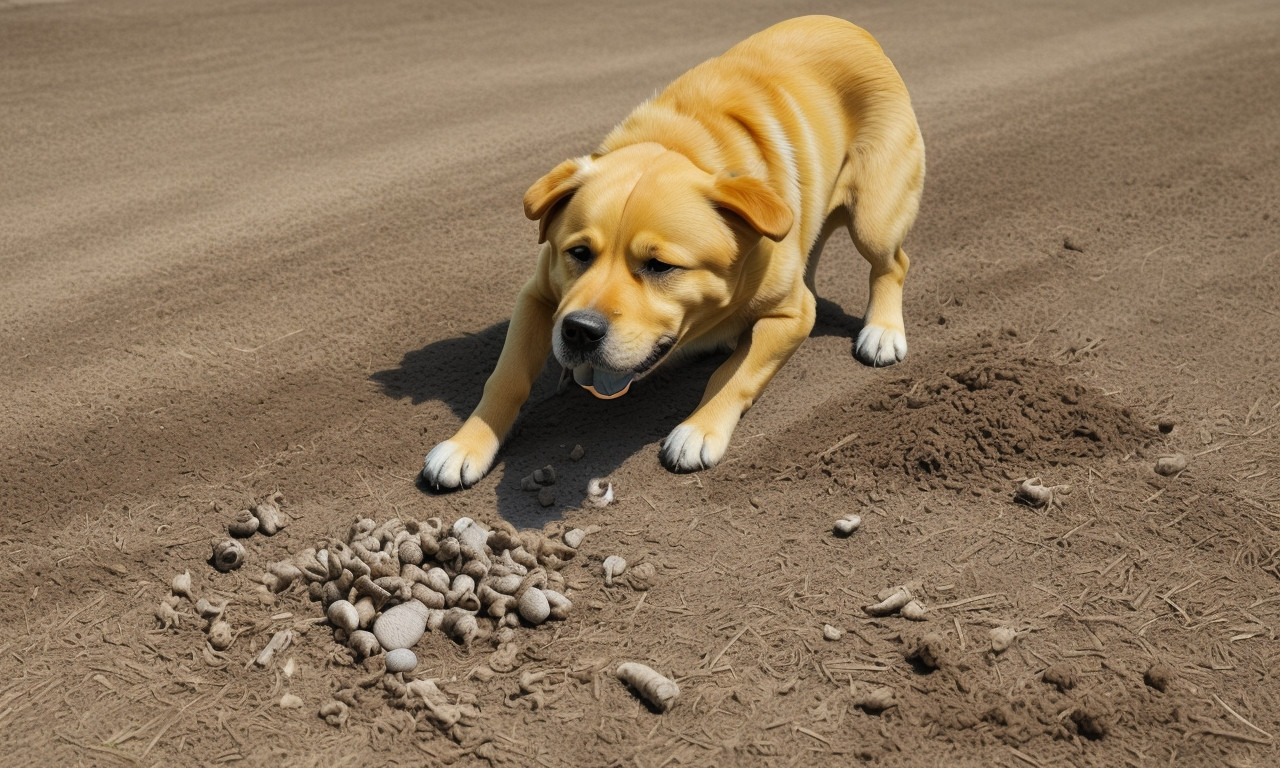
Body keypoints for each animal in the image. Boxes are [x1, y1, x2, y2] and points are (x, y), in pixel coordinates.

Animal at [424, 15, 926, 488]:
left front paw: (699, 429)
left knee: (893, 263)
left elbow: (735, 375)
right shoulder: (539, 296)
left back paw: (882, 331)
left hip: (873, 218)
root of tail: (849, 26)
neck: (682, 146)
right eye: (579, 253)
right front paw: (467, 444)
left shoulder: (792, 315)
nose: (580, 331)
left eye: (660, 265)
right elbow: (506, 377)